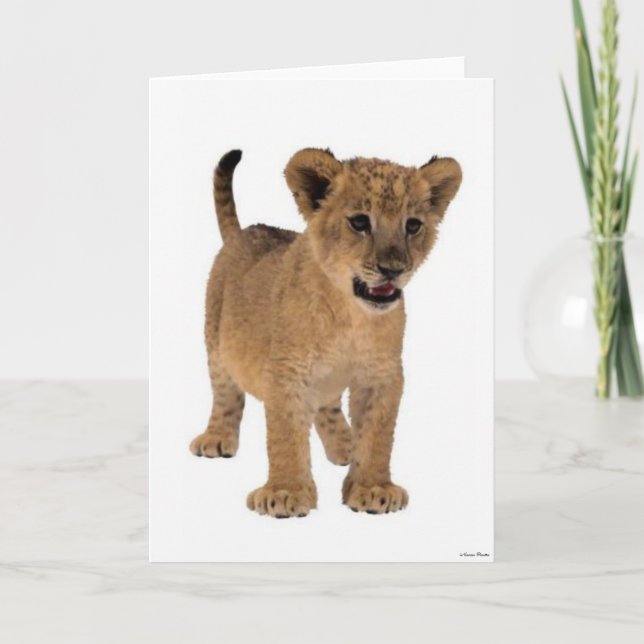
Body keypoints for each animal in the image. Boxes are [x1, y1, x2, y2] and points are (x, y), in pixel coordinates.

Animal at [189, 148, 462, 518]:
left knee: (327, 406)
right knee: (225, 393)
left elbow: (377, 434)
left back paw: (344, 446)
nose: (393, 270)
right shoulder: (285, 371)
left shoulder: (382, 373)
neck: (350, 315)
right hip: (215, 339)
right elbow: (286, 435)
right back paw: (217, 438)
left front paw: (372, 488)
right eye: (360, 222)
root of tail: (244, 232)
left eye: (413, 225)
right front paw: (285, 492)